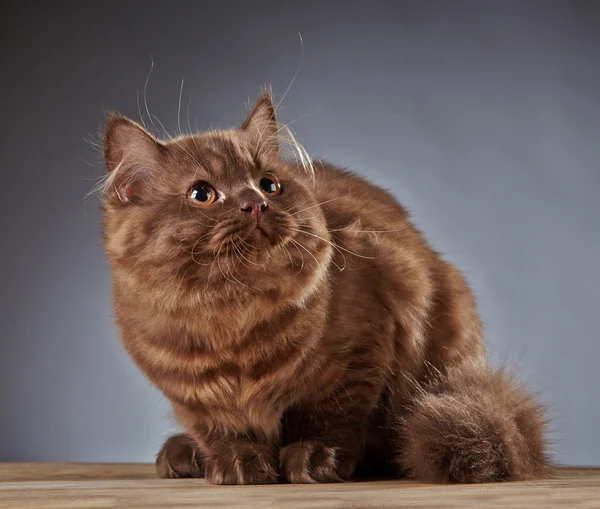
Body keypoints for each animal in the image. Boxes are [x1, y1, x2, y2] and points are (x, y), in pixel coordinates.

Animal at [101, 91, 552, 484]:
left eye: (268, 184)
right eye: (202, 194)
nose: (255, 204)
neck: (232, 316)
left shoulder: (362, 349)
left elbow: (331, 417)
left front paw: (313, 459)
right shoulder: (192, 395)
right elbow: (224, 431)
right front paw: (238, 463)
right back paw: (182, 455)